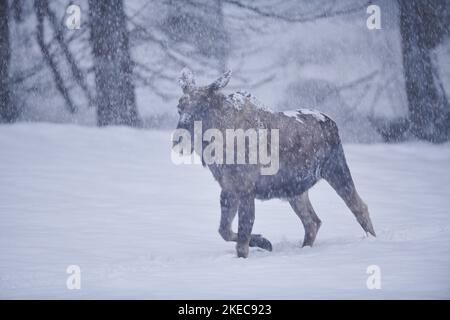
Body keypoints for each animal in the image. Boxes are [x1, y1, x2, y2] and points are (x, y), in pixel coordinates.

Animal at [174, 68, 374, 258]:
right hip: (295, 190)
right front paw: (264, 242)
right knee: (312, 221)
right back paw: (304, 248)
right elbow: (224, 230)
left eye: (202, 107)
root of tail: (332, 122)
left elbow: (242, 237)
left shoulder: (246, 188)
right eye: (179, 106)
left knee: (359, 207)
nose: (178, 139)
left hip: (336, 168)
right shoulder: (228, 188)